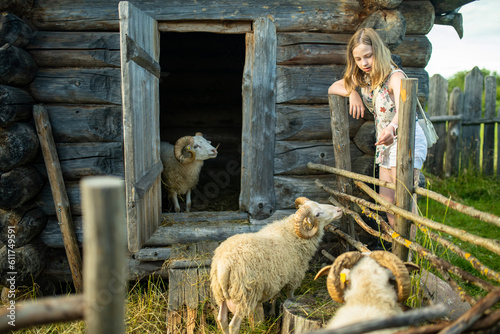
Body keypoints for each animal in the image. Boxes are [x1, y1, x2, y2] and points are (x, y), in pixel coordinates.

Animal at [209, 196, 342, 334]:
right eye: (317, 214)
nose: (339, 210)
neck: (292, 234)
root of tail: (224, 264)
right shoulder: (293, 277)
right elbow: (290, 294)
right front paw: (291, 302)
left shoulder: (277, 278)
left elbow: (274, 297)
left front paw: (273, 314)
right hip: (244, 295)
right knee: (233, 325)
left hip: (220, 293)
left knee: (222, 319)